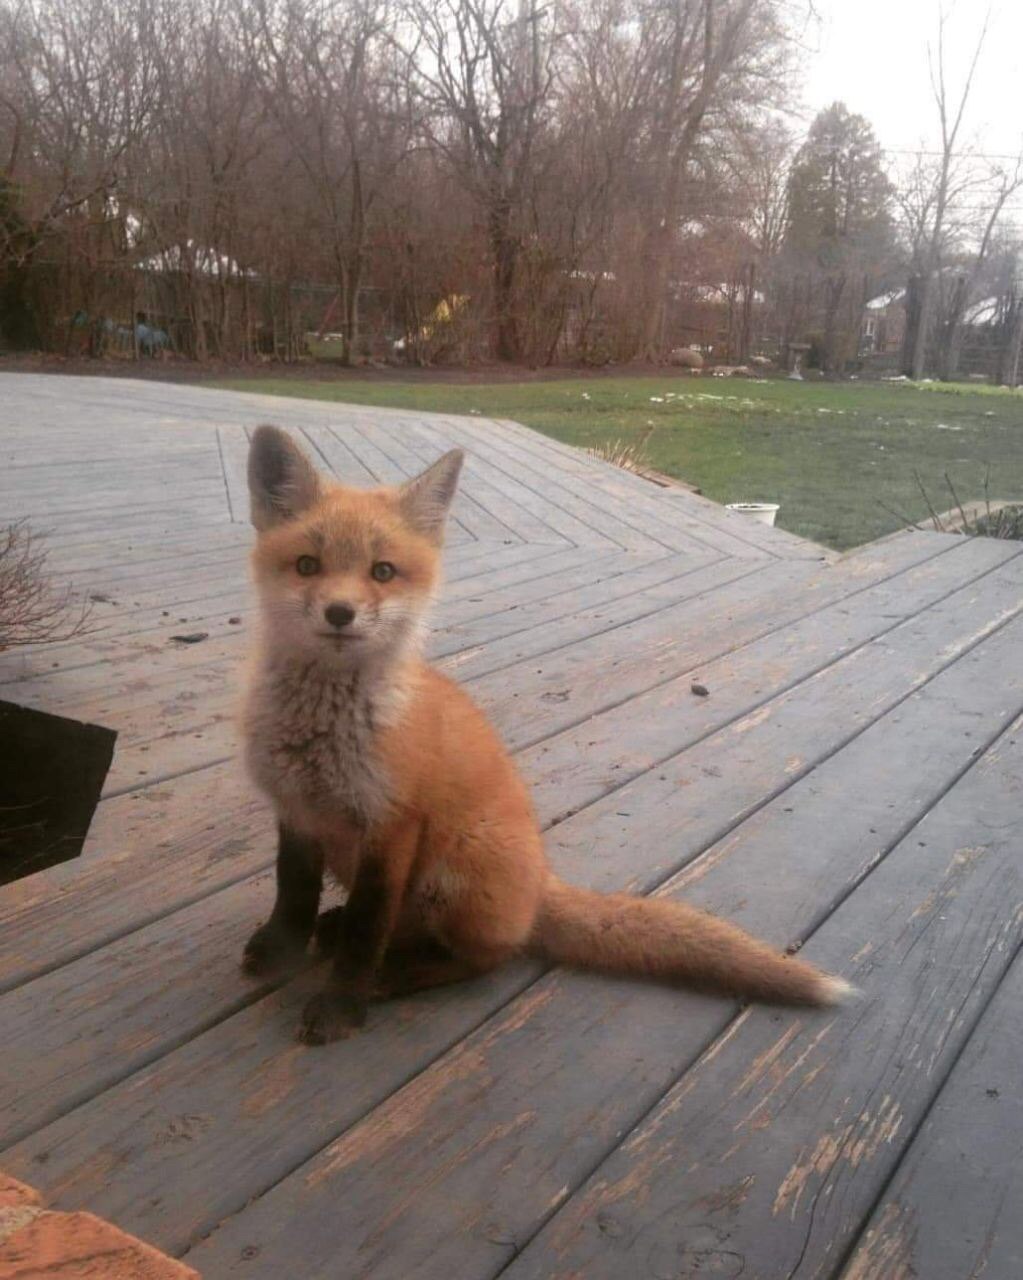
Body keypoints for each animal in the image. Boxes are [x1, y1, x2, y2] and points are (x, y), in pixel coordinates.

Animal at [241, 424, 853, 1044]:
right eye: (307, 565)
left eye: (382, 572)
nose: (340, 613)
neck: (319, 734)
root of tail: (539, 884)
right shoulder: (296, 809)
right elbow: (293, 889)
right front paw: (281, 950)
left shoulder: (392, 824)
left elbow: (367, 930)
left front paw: (343, 1004)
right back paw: (337, 929)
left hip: (451, 872)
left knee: (486, 956)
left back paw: (396, 973)